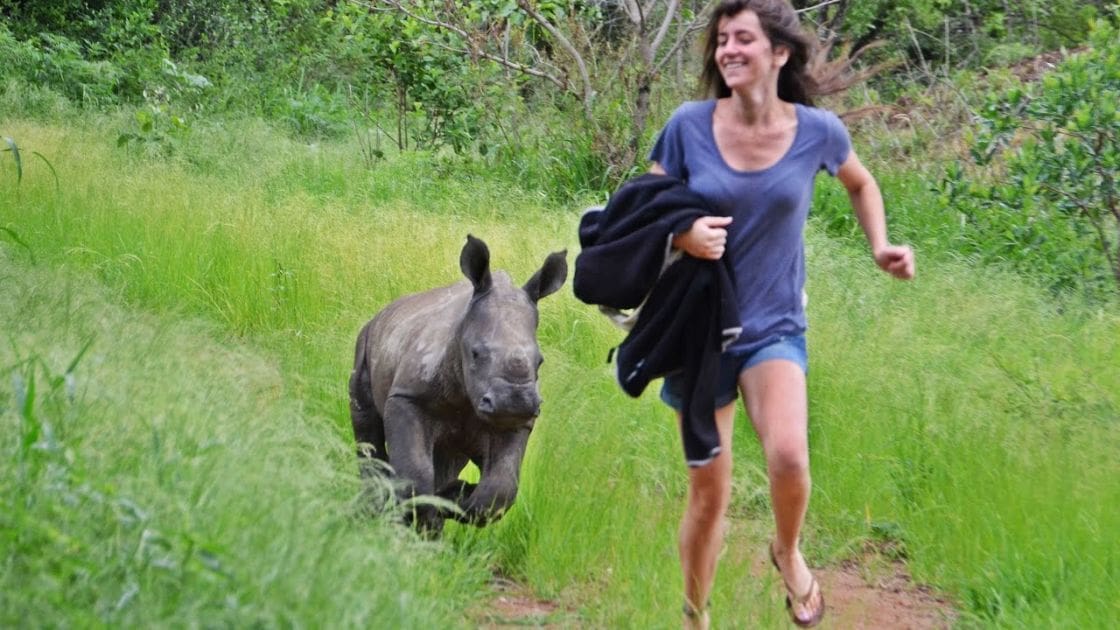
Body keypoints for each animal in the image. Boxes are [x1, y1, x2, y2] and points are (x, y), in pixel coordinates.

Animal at [349, 235, 567, 532]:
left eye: (540, 361)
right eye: (475, 353)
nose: (514, 401)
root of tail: (385, 310)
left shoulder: (517, 423)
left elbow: (500, 488)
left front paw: (453, 497)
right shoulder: (407, 398)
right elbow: (415, 473)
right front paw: (414, 515)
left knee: (446, 456)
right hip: (367, 340)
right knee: (368, 430)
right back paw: (375, 511)